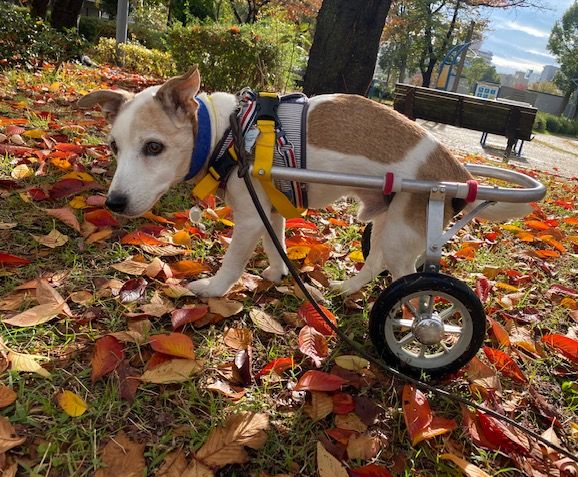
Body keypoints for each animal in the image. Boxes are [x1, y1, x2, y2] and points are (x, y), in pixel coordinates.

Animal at [78, 67, 531, 298]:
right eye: (114, 147)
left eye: (153, 147)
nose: (114, 203)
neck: (228, 135)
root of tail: (459, 173)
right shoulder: (269, 211)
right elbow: (275, 243)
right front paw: (278, 273)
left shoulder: (247, 221)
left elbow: (232, 265)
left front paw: (212, 289)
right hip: (389, 222)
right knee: (377, 263)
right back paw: (347, 288)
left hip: (404, 235)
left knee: (412, 287)